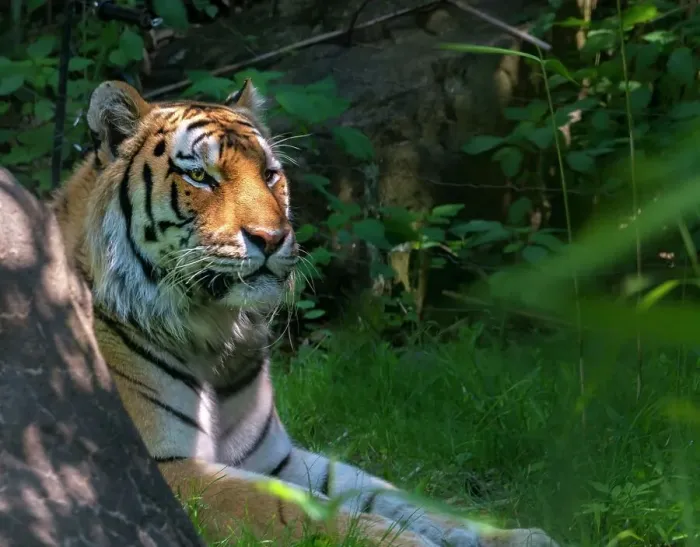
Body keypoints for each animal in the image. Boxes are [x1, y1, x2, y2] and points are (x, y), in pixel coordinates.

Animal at [52, 79, 559, 547]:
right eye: (200, 176)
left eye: (270, 175)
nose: (272, 238)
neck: (218, 339)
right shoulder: (163, 469)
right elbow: (299, 510)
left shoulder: (277, 458)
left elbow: (390, 495)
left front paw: (517, 536)